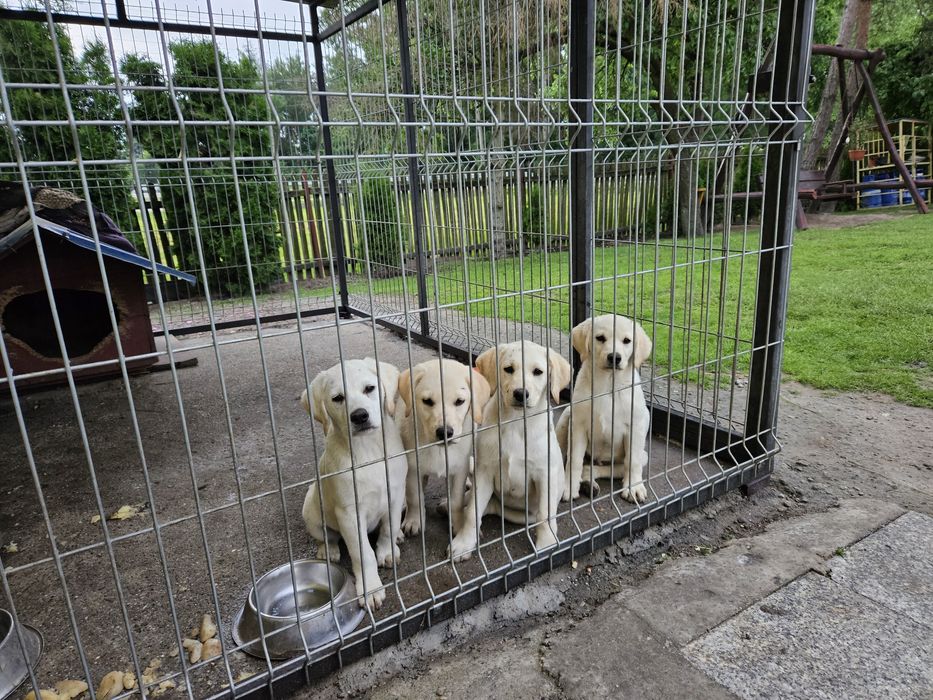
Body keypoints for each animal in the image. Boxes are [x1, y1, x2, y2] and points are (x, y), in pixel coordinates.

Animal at [300, 358, 406, 608]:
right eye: (338, 398)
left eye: (369, 388)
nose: (359, 416)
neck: (369, 449)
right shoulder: (349, 513)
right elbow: (363, 553)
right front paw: (371, 588)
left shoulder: (396, 494)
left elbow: (388, 528)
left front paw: (387, 551)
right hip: (312, 513)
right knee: (327, 537)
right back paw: (328, 551)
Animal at [396, 360, 492, 536]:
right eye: (427, 401)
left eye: (459, 401)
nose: (445, 432)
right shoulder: (413, 469)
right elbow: (414, 497)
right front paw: (414, 520)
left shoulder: (459, 468)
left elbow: (456, 500)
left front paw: (459, 524)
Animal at [446, 340, 568, 564]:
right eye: (508, 369)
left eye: (538, 372)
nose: (520, 393)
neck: (516, 423)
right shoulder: (484, 472)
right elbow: (473, 513)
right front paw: (463, 543)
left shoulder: (544, 473)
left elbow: (545, 513)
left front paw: (546, 542)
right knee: (471, 505)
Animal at [556, 314, 652, 504]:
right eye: (600, 338)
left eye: (627, 341)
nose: (614, 357)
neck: (609, 384)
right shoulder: (577, 426)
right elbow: (574, 461)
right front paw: (569, 487)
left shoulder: (636, 426)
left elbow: (632, 462)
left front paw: (634, 488)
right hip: (566, 417)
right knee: (567, 459)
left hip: (643, 454)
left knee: (612, 468)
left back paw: (590, 480)